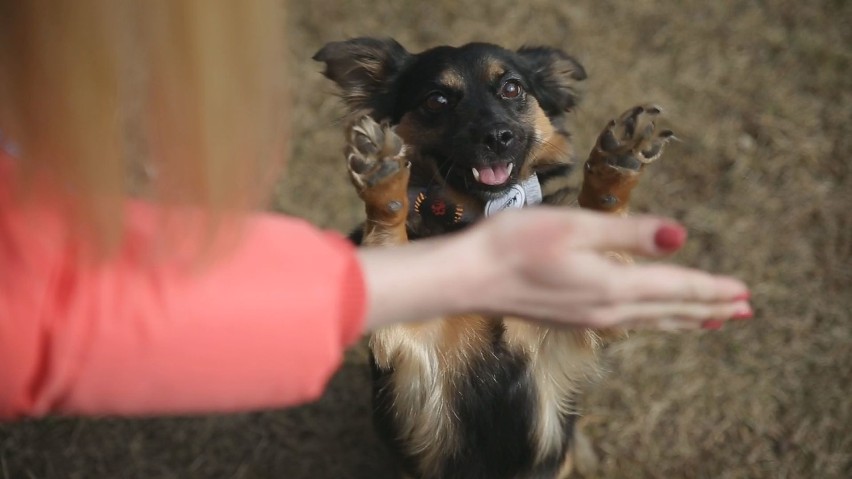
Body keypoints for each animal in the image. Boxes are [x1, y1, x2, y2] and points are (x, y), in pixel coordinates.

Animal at [312, 37, 672, 479]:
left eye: (512, 88)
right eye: (436, 99)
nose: (498, 137)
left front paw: (616, 163)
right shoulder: (407, 338)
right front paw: (383, 172)